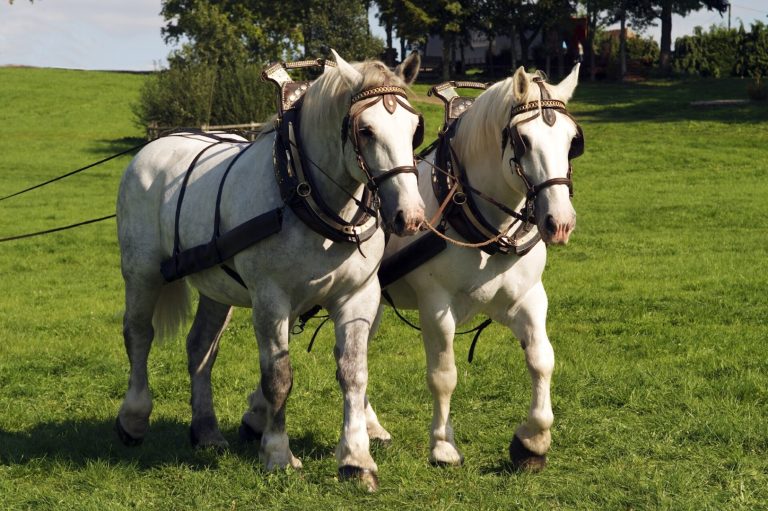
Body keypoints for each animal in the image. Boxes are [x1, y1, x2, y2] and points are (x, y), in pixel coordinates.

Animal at [114, 50, 425, 490]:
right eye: (365, 130)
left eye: (414, 130)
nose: (410, 217)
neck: (303, 192)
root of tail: (154, 144)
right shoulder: (270, 300)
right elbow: (278, 377)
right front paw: (278, 453)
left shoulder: (358, 296)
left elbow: (353, 373)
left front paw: (356, 459)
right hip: (141, 272)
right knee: (139, 335)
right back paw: (133, 419)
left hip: (216, 287)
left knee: (200, 348)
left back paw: (206, 431)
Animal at [359, 64, 584, 469]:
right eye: (523, 140)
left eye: (572, 139)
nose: (559, 222)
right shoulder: (436, 307)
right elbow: (443, 375)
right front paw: (442, 446)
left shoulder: (528, 299)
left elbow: (542, 360)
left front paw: (533, 441)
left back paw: (372, 429)